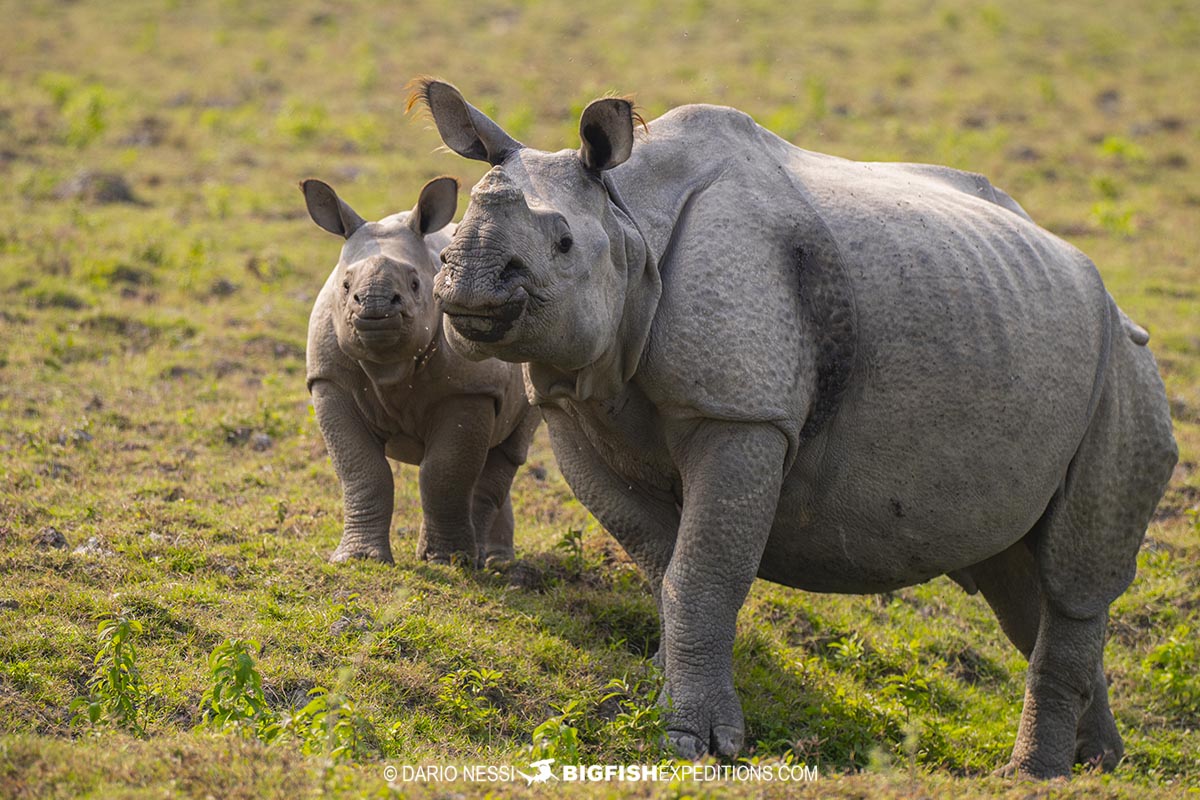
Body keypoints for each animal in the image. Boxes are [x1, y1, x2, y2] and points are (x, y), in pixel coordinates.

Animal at [302, 178, 537, 566]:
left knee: (505, 453)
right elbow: (363, 471)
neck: (389, 365)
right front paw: (359, 559)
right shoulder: (328, 379)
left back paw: (485, 561)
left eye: (415, 284)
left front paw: (446, 560)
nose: (375, 304)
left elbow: (444, 472)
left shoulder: (470, 389)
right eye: (346, 287)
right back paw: (493, 560)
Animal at [408, 79, 1176, 777]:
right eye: (458, 234)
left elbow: (704, 570)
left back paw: (1034, 775)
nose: (467, 283)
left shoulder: (743, 415)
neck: (629, 219)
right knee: (1023, 587)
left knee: (1072, 581)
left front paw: (697, 743)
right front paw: (663, 684)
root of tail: (1110, 297)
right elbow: (664, 563)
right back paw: (1100, 764)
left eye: (564, 243)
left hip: (1123, 373)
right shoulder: (572, 405)